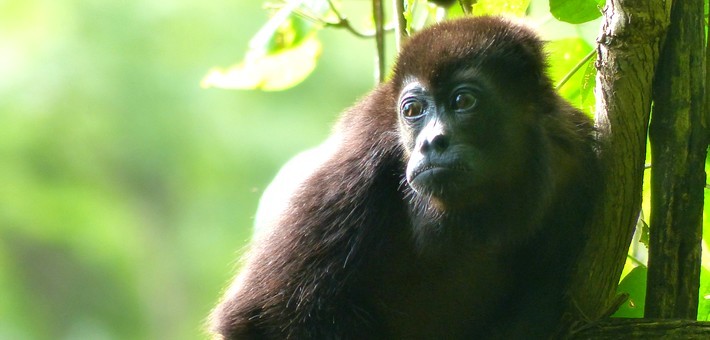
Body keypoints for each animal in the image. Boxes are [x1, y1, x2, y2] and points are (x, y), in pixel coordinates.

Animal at [211, 16, 600, 340]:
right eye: (412, 110)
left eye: (463, 101)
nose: (431, 142)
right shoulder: (359, 163)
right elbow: (263, 315)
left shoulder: (576, 159)